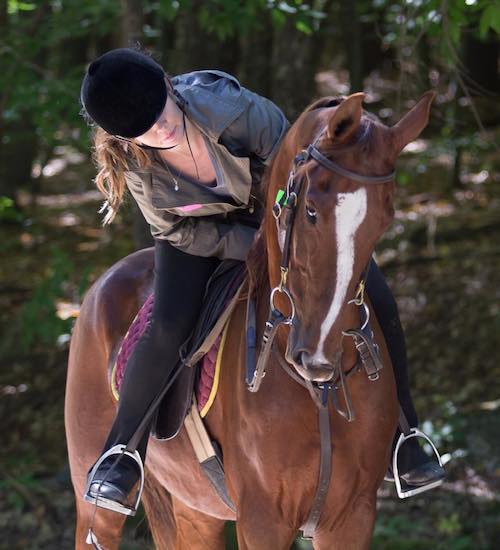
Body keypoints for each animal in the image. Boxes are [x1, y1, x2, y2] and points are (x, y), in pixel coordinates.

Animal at [65, 91, 434, 550]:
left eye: (385, 220)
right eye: (311, 211)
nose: (317, 356)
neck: (317, 392)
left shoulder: (352, 517)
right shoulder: (262, 520)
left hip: (196, 511)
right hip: (95, 509)